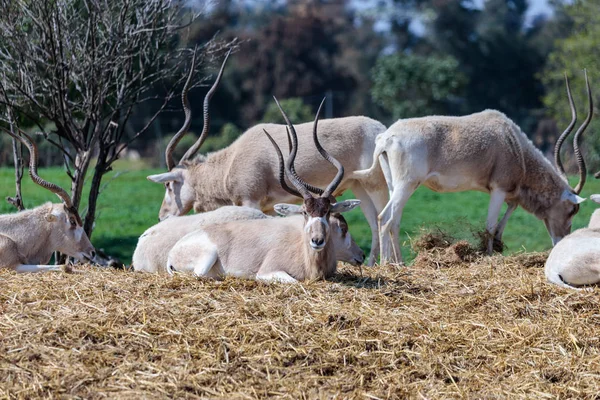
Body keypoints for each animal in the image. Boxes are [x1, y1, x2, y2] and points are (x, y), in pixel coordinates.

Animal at [165, 101, 360, 282]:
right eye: (305, 212)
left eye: (327, 212)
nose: (317, 241)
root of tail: (173, 252)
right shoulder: (267, 272)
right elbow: (295, 282)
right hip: (208, 257)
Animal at [358, 71, 592, 266]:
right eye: (573, 210)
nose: (561, 240)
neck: (514, 143)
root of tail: (386, 137)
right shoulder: (498, 189)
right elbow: (490, 225)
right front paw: (488, 254)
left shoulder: (506, 190)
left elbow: (512, 207)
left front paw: (498, 243)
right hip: (407, 184)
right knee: (385, 218)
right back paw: (387, 265)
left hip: (395, 186)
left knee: (395, 220)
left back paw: (400, 263)